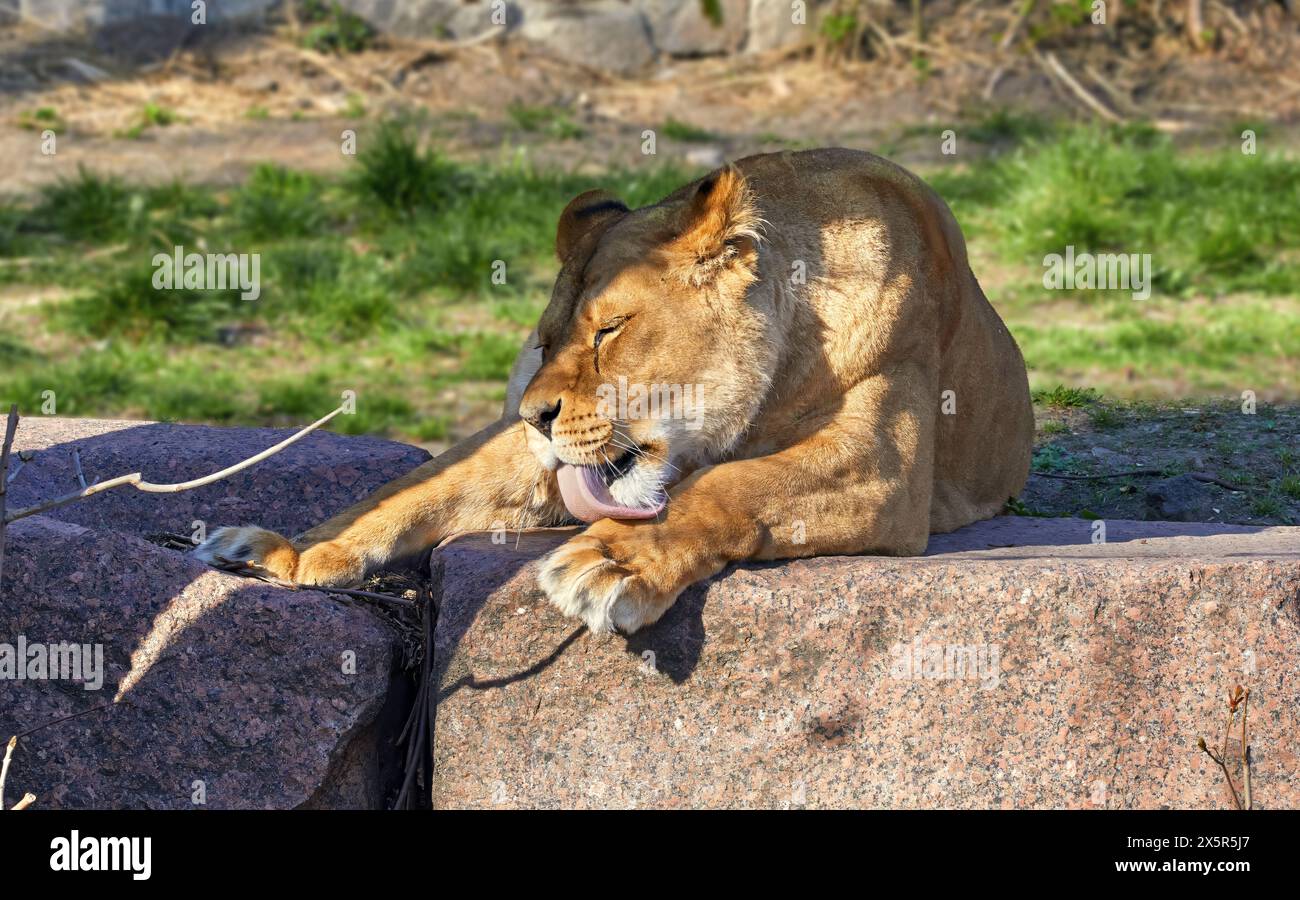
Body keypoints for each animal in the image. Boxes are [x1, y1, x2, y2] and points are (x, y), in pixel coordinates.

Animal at [195, 148, 1034, 634]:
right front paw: (296, 551)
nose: (536, 415)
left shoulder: (886, 464)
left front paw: (614, 563)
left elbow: (733, 485)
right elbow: (421, 486)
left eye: (608, 331)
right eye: (546, 337)